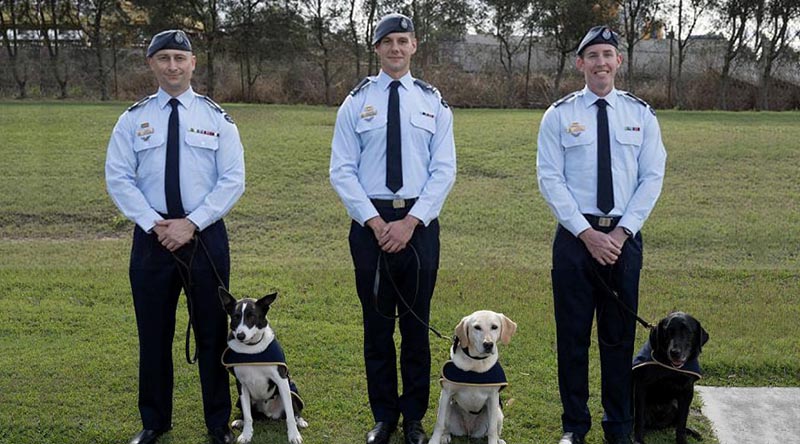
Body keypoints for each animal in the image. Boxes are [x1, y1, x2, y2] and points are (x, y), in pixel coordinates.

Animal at [219, 288, 306, 444]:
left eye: (252, 316)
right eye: (235, 317)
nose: (240, 335)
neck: (252, 350)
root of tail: (270, 413)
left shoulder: (281, 380)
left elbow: (290, 414)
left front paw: (293, 435)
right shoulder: (241, 384)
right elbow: (248, 416)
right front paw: (246, 434)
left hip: (291, 391)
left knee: (294, 410)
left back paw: (300, 421)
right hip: (240, 400)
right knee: (250, 414)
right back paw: (240, 421)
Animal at [632, 312, 708, 444]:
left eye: (688, 332)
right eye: (667, 332)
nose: (675, 352)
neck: (671, 368)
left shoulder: (687, 392)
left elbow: (682, 423)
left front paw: (682, 440)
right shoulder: (641, 386)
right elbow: (639, 419)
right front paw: (638, 439)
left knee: (677, 424)